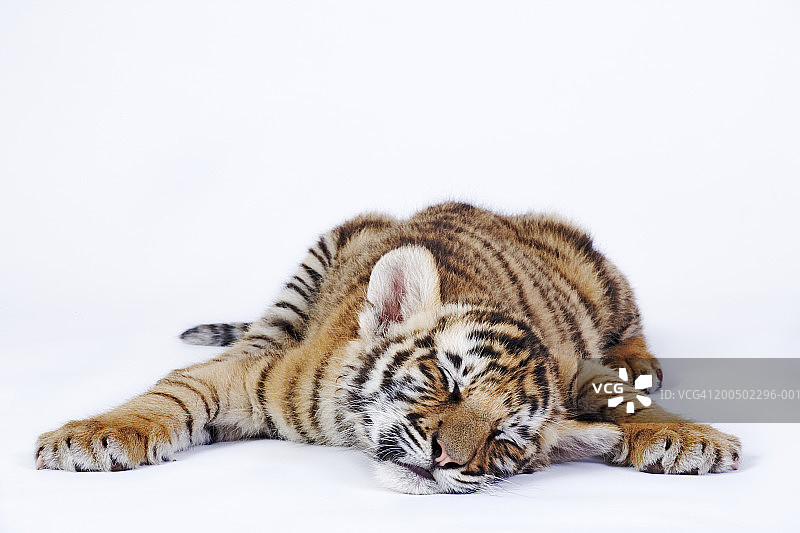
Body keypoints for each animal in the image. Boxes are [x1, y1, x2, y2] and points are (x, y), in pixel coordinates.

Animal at [35, 202, 741, 494]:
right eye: (445, 381)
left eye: (505, 438)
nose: (442, 459)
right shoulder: (253, 381)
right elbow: (172, 393)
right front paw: (94, 438)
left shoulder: (576, 370)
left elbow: (620, 399)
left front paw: (693, 439)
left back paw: (640, 361)